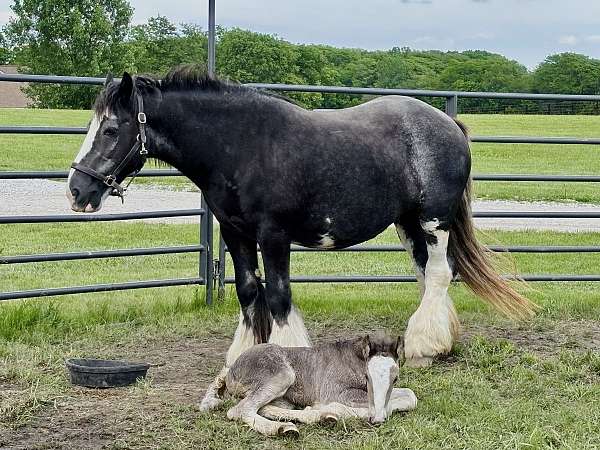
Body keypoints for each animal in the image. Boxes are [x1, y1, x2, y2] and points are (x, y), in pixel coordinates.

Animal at [67, 67, 536, 376]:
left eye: (110, 130)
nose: (76, 190)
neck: (242, 145)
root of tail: (449, 124)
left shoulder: (273, 235)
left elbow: (278, 296)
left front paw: (287, 356)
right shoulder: (234, 232)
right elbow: (248, 292)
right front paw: (244, 357)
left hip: (434, 220)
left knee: (439, 273)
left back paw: (425, 348)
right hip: (407, 223)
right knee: (427, 276)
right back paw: (432, 342)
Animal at [202, 334, 418, 436]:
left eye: (395, 379)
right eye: (367, 376)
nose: (378, 419)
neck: (352, 360)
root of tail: (230, 371)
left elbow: (410, 395)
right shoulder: (337, 392)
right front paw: (340, 410)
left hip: (283, 397)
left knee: (264, 408)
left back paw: (311, 419)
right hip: (282, 375)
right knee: (239, 410)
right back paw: (283, 429)